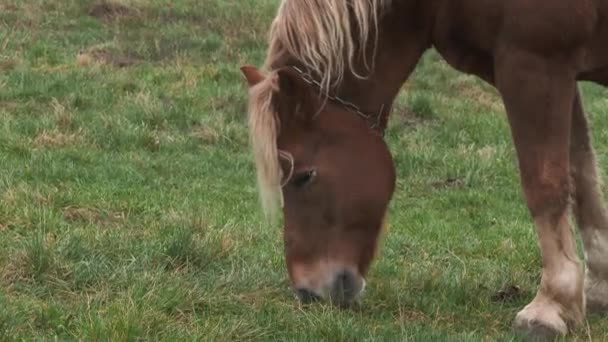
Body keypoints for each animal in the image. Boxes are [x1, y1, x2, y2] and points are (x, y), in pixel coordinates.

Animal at [241, 0, 608, 340]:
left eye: (304, 176)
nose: (308, 292)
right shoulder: (558, 74)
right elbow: (582, 178)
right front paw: (596, 288)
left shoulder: (535, 65)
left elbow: (545, 185)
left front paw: (551, 305)